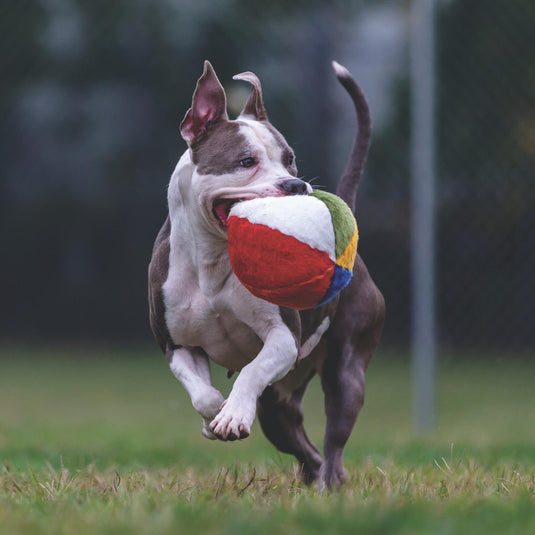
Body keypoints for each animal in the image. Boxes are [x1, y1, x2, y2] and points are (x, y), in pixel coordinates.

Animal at [149, 59, 386, 490]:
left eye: (291, 159)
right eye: (246, 161)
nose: (295, 183)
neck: (214, 257)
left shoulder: (282, 338)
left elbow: (251, 369)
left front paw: (232, 414)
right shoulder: (178, 345)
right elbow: (202, 394)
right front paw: (216, 415)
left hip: (346, 370)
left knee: (334, 439)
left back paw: (329, 482)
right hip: (278, 406)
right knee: (302, 444)